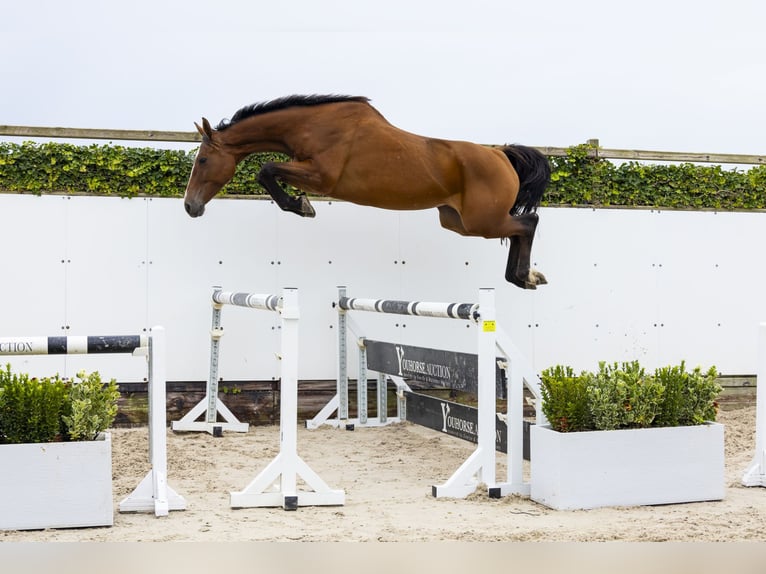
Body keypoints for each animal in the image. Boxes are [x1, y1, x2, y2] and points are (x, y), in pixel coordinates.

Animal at [185, 96, 552, 290]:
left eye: (202, 160)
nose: (190, 207)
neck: (312, 126)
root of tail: (500, 154)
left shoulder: (322, 177)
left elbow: (266, 169)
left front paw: (301, 205)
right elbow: (269, 171)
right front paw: (300, 204)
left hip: (481, 221)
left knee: (528, 222)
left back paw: (525, 276)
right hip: (457, 222)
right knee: (519, 228)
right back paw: (522, 277)